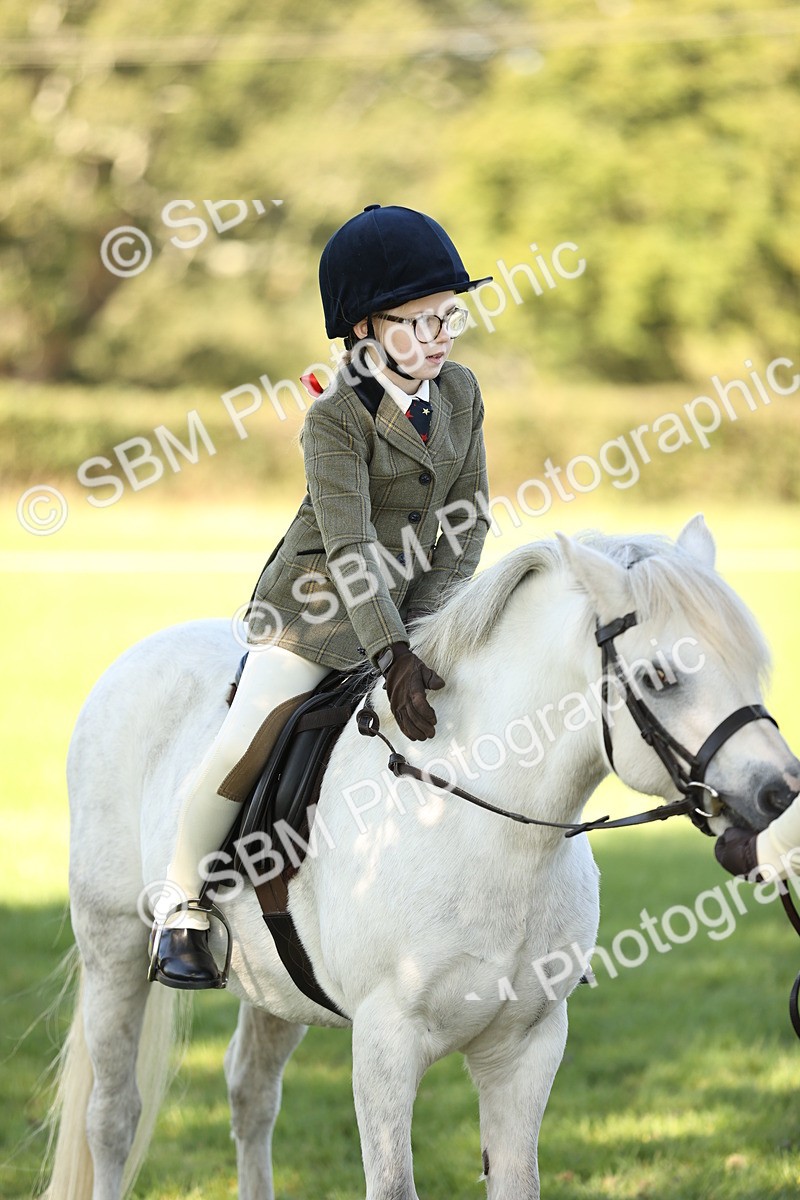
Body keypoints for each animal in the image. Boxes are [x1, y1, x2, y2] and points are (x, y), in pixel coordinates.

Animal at [43, 515, 800, 1200]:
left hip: (276, 984)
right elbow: (392, 1185)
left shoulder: (527, 1048)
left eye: (749, 663)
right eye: (661, 675)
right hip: (113, 946)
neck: (488, 832)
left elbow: (517, 1181)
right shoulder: (386, 1045)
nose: (779, 791)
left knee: (251, 1095)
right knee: (112, 1117)